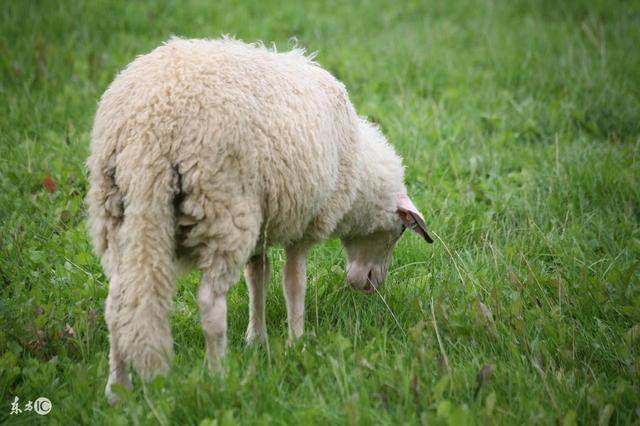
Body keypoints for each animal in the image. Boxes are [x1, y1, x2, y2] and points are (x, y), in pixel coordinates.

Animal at [86, 37, 436, 402]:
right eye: (398, 233)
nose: (371, 286)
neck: (358, 179)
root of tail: (147, 130)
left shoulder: (261, 228)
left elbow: (258, 277)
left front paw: (257, 338)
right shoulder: (303, 224)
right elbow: (294, 283)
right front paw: (298, 341)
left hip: (115, 216)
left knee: (116, 306)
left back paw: (117, 390)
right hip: (223, 211)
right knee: (210, 304)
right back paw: (218, 377)